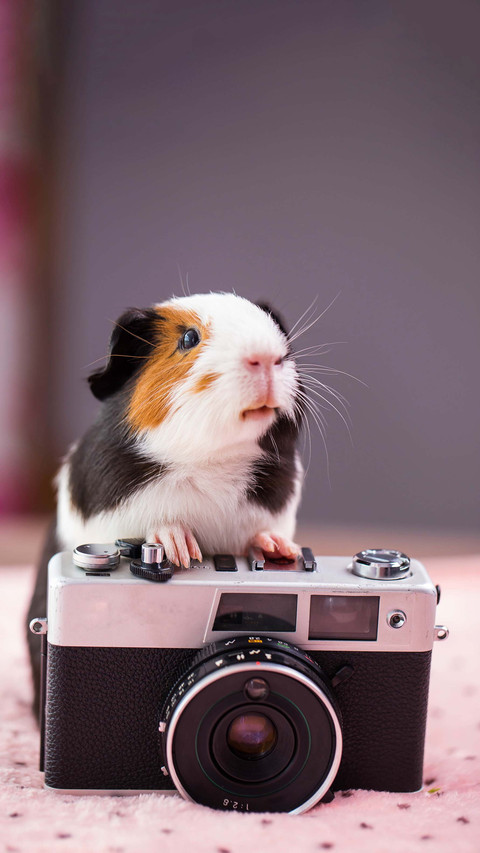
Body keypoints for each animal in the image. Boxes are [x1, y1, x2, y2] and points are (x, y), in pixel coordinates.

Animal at [27, 293, 304, 714]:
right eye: (188, 338)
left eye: (271, 327)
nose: (267, 356)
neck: (213, 464)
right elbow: (158, 524)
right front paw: (180, 547)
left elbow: (260, 534)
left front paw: (279, 549)